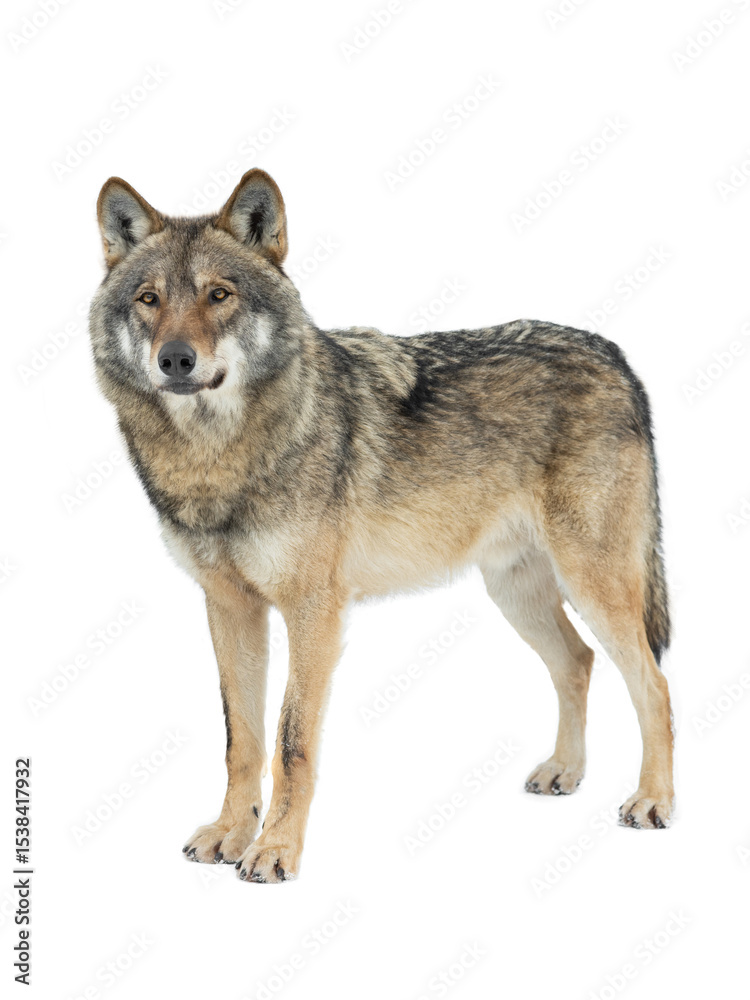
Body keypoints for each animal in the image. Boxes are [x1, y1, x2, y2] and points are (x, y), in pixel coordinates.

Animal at [89, 168, 674, 882]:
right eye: (149, 300)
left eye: (219, 295)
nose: (174, 359)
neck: (219, 459)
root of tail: (616, 354)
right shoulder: (229, 608)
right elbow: (241, 738)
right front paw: (230, 834)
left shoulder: (314, 612)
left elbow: (290, 741)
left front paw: (275, 851)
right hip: (517, 595)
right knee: (579, 663)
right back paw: (565, 771)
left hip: (596, 586)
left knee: (654, 684)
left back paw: (653, 801)